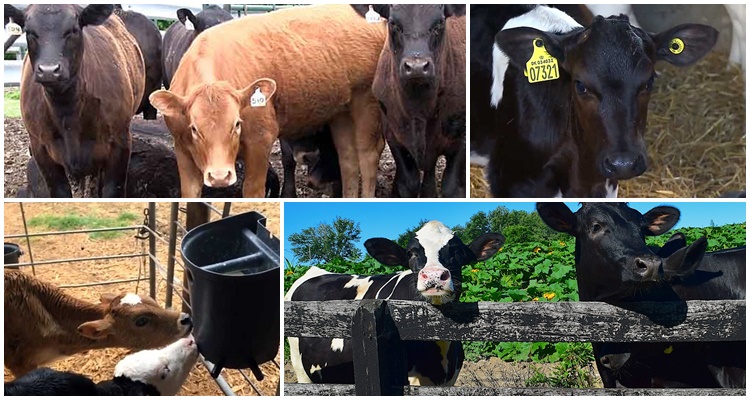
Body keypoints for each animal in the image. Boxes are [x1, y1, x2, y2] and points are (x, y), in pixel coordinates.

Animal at [149, 4, 387, 198]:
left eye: (237, 124)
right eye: (194, 128)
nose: (219, 177)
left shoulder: (260, 142)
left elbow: (253, 191)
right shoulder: (182, 149)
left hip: (367, 102)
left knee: (367, 157)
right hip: (341, 111)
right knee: (348, 160)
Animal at [351, 5, 466, 198]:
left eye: (440, 22)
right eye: (393, 23)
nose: (417, 67)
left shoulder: (460, 140)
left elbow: (452, 188)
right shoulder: (393, 135)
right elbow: (409, 183)